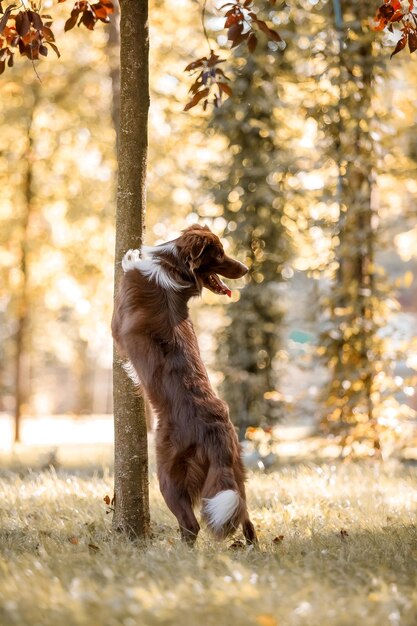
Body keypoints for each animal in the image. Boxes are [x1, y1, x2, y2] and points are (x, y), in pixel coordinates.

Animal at [113, 223, 256, 540]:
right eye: (220, 254)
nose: (245, 268)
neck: (173, 267)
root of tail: (215, 432)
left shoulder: (115, 326)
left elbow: (128, 267)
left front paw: (130, 256)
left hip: (168, 473)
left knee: (191, 524)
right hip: (235, 473)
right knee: (246, 517)